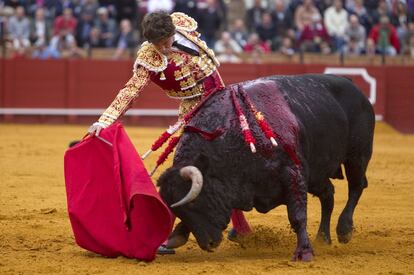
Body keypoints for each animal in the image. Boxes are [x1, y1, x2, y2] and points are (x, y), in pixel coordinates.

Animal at [158, 74, 376, 262]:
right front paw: (176, 236)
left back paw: (344, 230)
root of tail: (351, 84)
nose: (208, 244)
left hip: (357, 155)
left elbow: (297, 216)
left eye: (194, 203)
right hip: (317, 171)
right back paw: (322, 238)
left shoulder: (294, 174)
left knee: (356, 186)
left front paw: (303, 253)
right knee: (328, 194)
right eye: (179, 211)